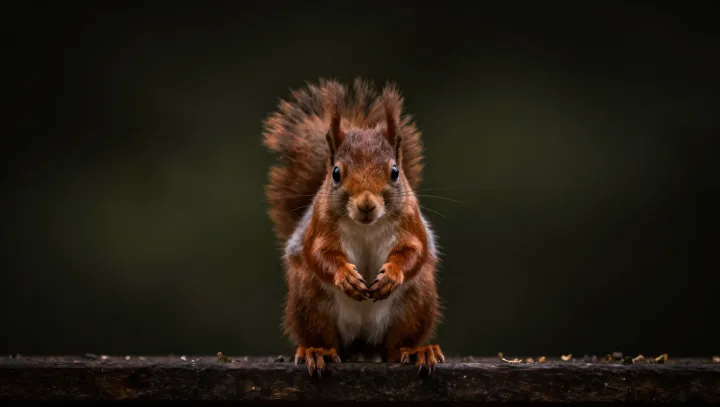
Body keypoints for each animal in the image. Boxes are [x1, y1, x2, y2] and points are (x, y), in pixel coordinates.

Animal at [262, 78, 444, 376]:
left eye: (395, 172)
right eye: (336, 173)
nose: (366, 204)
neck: (366, 227)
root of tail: (363, 344)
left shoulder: (410, 223)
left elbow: (414, 250)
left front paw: (392, 274)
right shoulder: (320, 226)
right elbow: (319, 253)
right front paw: (345, 276)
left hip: (416, 303)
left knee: (395, 348)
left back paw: (416, 351)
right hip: (310, 303)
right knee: (326, 339)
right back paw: (318, 352)